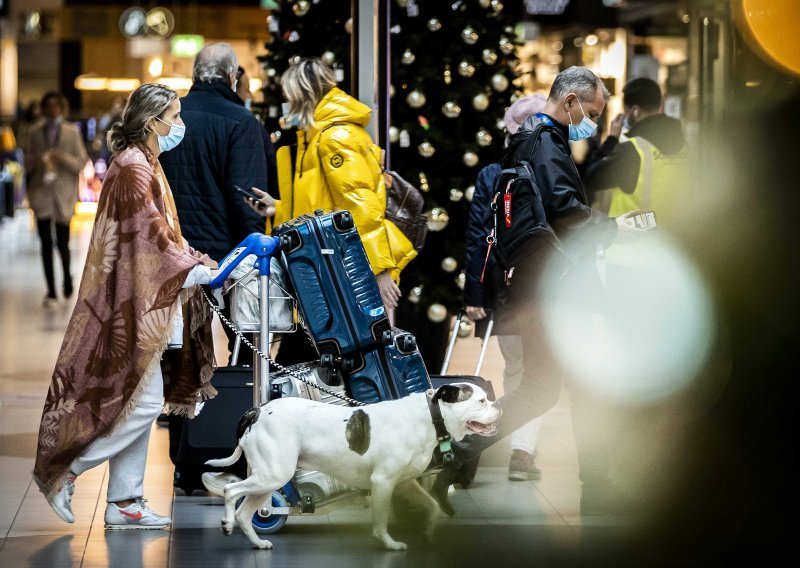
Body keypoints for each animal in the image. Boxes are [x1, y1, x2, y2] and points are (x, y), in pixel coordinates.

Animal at [205, 382, 500, 552]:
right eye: (481, 401)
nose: (497, 405)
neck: (431, 415)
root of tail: (257, 410)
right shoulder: (383, 482)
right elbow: (380, 520)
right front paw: (389, 544)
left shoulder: (405, 483)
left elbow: (432, 505)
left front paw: (428, 531)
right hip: (272, 475)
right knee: (231, 490)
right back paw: (227, 523)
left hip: (268, 479)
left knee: (245, 513)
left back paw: (257, 543)